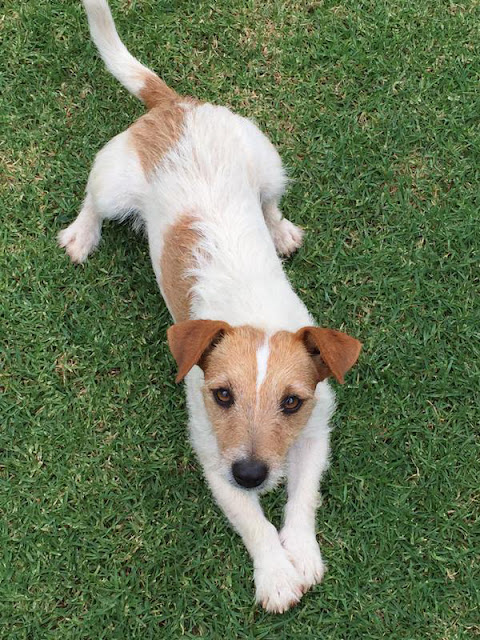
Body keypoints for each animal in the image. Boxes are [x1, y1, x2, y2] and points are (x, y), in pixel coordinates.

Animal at [59, 0, 360, 612]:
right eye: (222, 394)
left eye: (291, 402)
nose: (250, 472)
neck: (254, 313)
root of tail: (177, 106)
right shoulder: (212, 449)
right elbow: (251, 520)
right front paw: (276, 572)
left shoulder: (317, 425)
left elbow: (303, 495)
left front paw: (301, 550)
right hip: (112, 182)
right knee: (92, 200)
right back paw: (81, 235)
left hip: (266, 162)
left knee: (270, 202)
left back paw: (280, 230)